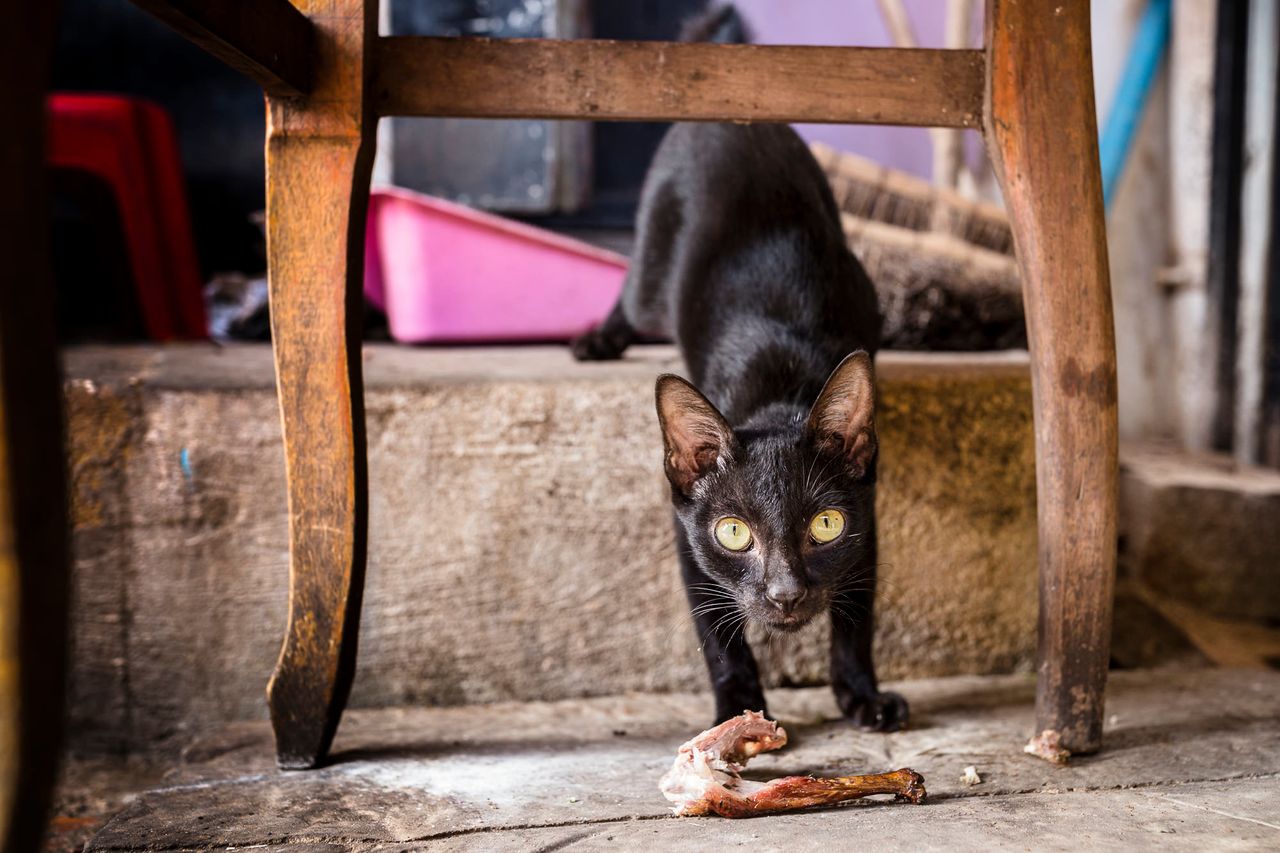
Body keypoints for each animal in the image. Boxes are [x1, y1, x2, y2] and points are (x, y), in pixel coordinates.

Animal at [576, 117, 906, 732]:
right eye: (733, 532)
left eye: (826, 525)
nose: (785, 594)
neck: (780, 395)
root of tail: (719, 120)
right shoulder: (685, 535)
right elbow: (716, 634)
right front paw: (736, 707)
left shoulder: (866, 519)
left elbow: (856, 616)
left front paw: (861, 694)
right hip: (652, 273)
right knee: (631, 297)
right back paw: (597, 340)